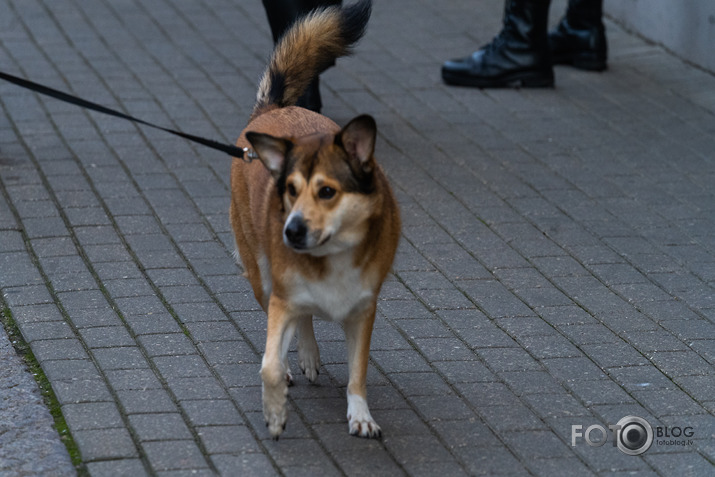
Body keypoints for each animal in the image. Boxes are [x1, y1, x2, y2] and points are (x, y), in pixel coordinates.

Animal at [229, 0, 400, 436]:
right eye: (288, 190)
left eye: (327, 192)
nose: (290, 232)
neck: (330, 258)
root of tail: (274, 108)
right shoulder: (282, 298)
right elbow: (270, 365)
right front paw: (275, 409)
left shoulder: (363, 312)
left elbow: (357, 373)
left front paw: (360, 415)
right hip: (261, 276)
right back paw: (298, 360)